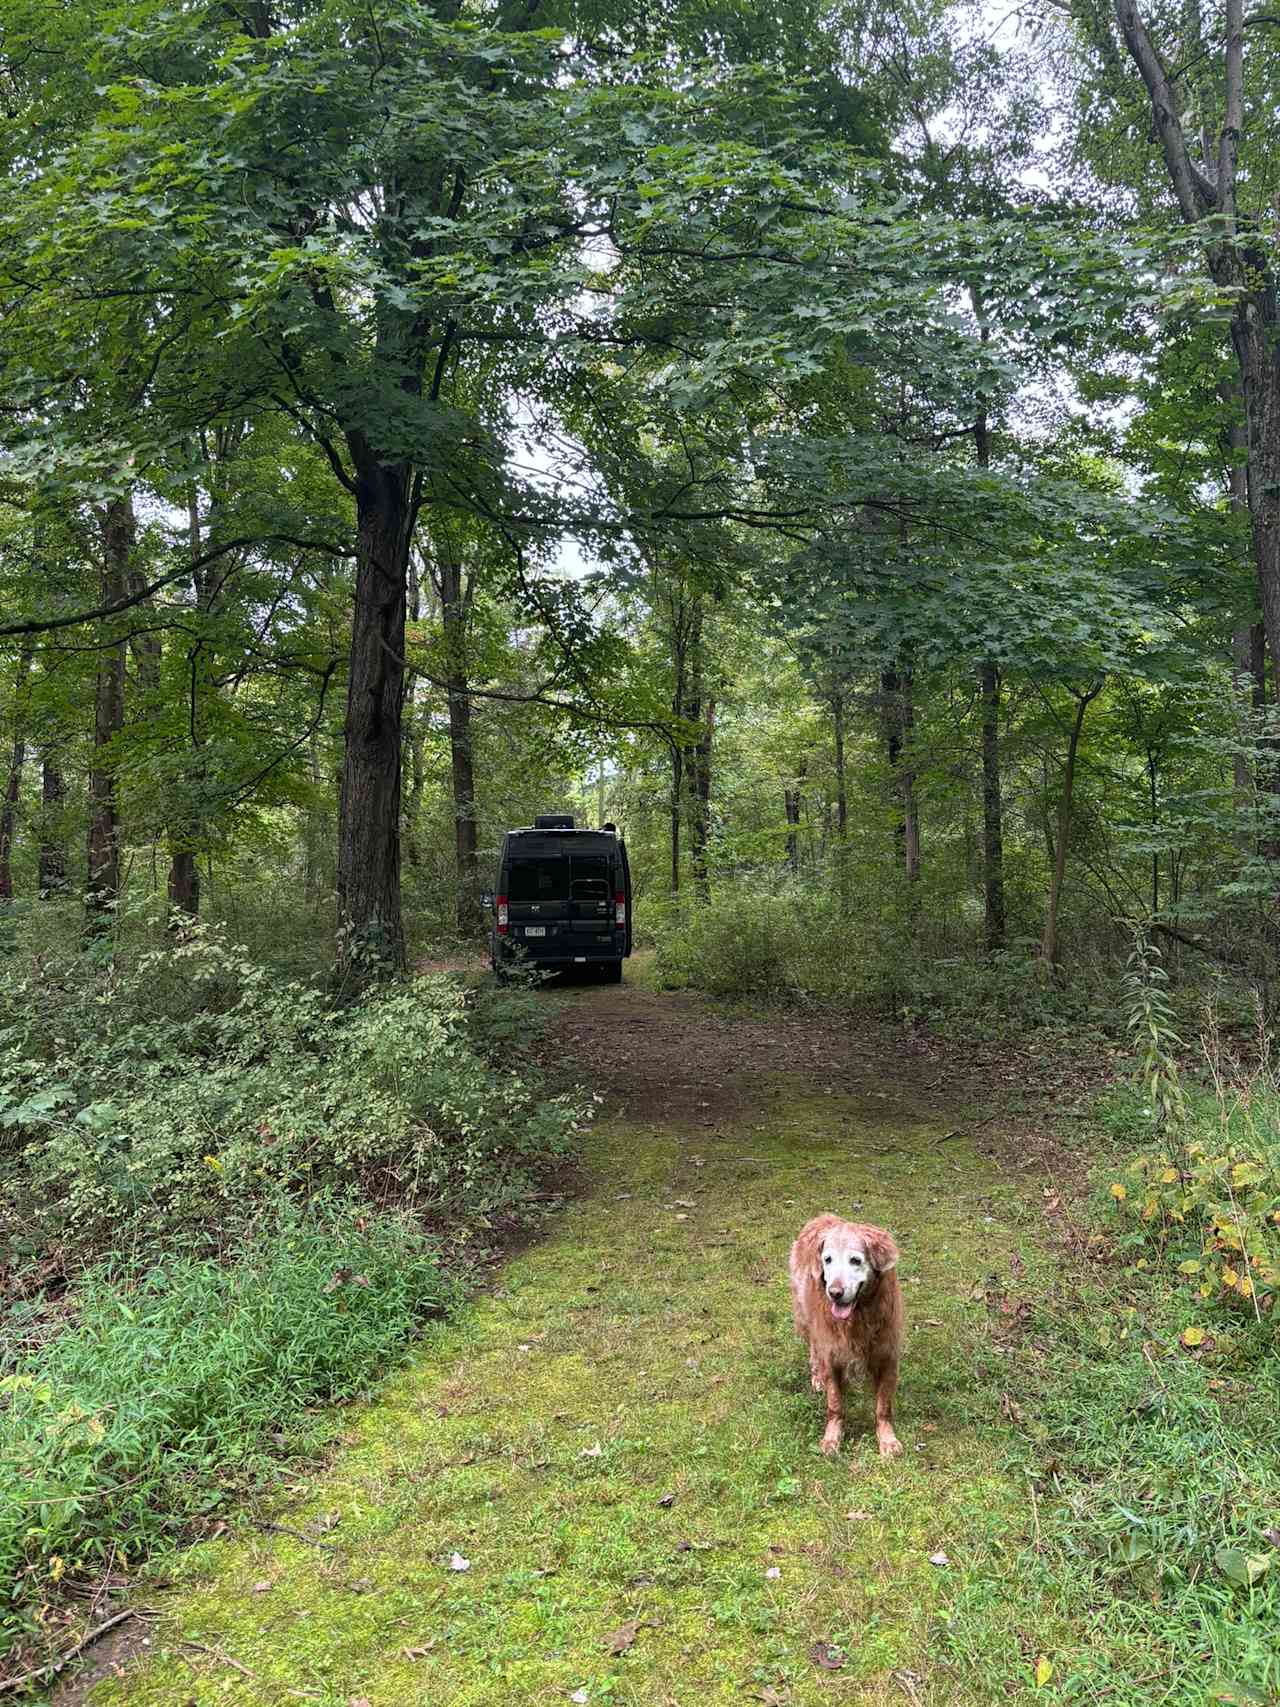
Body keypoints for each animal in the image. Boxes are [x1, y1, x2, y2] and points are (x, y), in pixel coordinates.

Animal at [788, 1215, 907, 1454]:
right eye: (828, 1260)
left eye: (855, 1260)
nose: (834, 1293)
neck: (858, 1316)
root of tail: (821, 1216)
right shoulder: (831, 1354)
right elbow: (835, 1404)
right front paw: (832, 1438)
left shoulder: (888, 1356)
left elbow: (883, 1407)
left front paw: (887, 1439)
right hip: (806, 1317)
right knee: (813, 1348)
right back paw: (817, 1377)